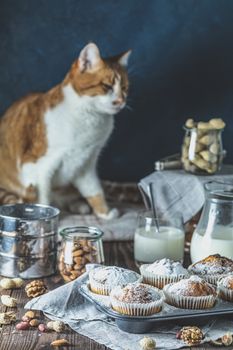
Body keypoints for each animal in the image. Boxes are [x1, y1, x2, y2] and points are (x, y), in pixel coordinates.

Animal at [0, 43, 131, 219]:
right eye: (106, 86)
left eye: (124, 88)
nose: (120, 101)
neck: (89, 119)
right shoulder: (37, 166)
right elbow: (42, 199)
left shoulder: (85, 164)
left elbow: (95, 191)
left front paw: (105, 213)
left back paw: (78, 206)